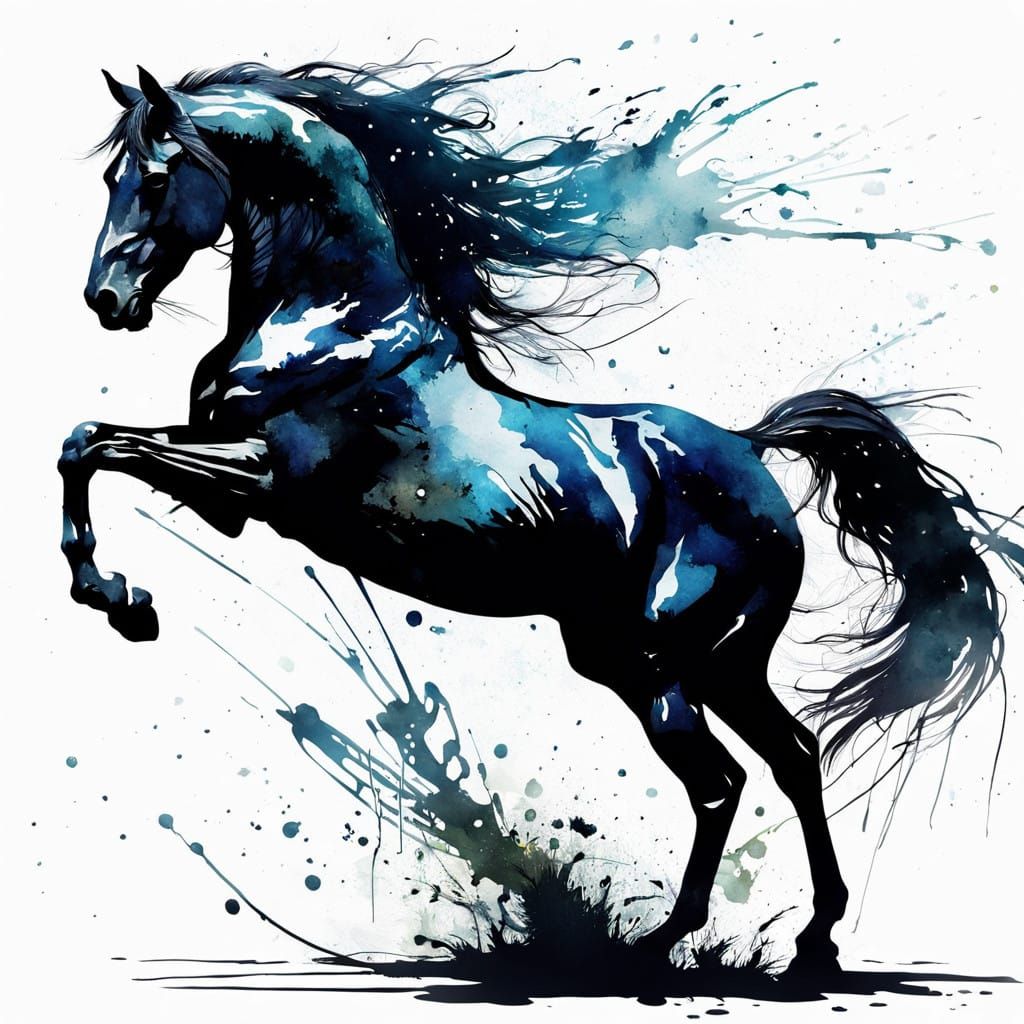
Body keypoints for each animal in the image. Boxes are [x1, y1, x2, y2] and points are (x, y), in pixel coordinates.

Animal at [60, 61, 1022, 975]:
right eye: (108, 176)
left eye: (154, 177)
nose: (107, 301)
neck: (333, 324)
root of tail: (752, 455)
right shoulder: (228, 495)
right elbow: (91, 445)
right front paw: (124, 598)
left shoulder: (268, 481)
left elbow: (97, 447)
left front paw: (118, 600)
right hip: (704, 663)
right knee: (794, 755)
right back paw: (816, 937)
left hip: (666, 664)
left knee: (718, 783)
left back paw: (666, 942)